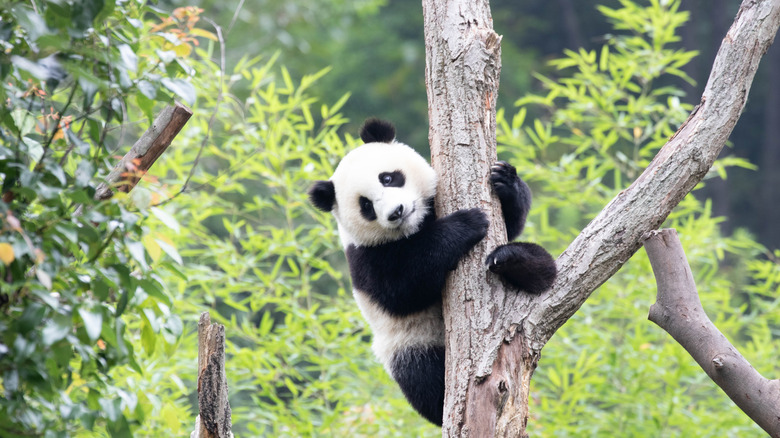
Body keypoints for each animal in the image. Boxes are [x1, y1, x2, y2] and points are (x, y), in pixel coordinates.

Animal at [308, 118, 557, 426]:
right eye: (366, 205)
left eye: (388, 178)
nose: (396, 211)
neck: (416, 225)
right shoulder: (366, 257)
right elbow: (401, 290)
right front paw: (466, 223)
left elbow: (511, 224)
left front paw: (504, 180)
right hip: (410, 343)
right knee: (423, 378)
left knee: (542, 264)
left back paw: (518, 261)